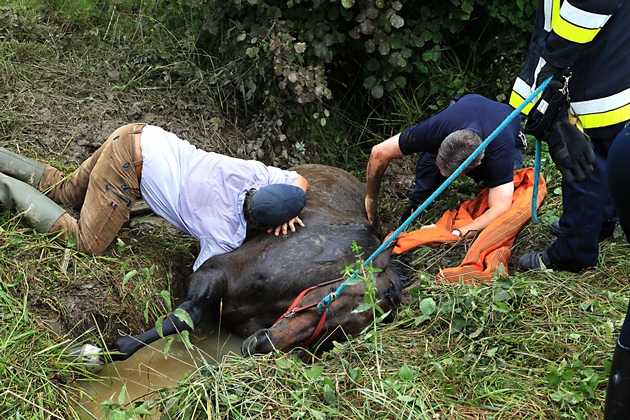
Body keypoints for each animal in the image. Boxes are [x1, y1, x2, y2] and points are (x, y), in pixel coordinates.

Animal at [99, 163, 404, 360]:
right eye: (332, 293)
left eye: (345, 332)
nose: (262, 343)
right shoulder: (215, 271)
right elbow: (184, 317)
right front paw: (107, 351)